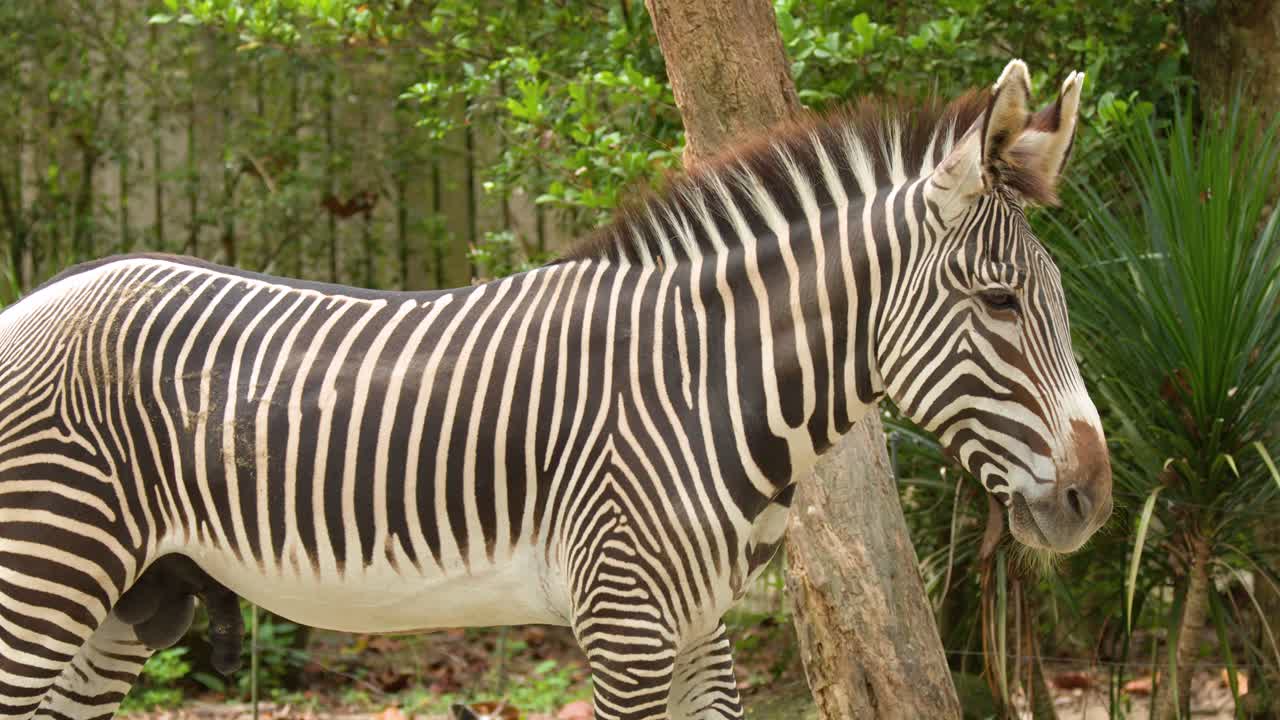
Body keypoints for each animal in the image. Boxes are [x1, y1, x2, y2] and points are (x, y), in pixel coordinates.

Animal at [0, 59, 1110, 719]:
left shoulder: (702, 636)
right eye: (1000, 303)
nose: (1092, 499)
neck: (702, 386)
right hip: (41, 578)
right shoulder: (624, 626)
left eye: (1056, 299)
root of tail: (35, 298)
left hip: (127, 605)